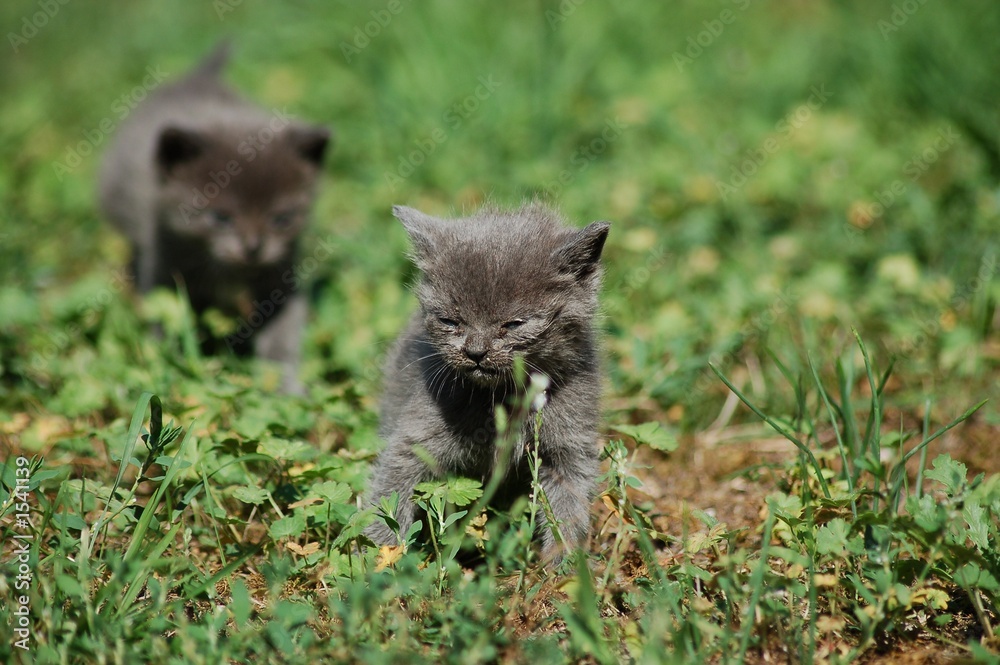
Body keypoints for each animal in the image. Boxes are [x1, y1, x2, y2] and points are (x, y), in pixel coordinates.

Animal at [97, 42, 326, 394]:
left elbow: (283, 329)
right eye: (220, 217)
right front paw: (170, 365)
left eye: (281, 219)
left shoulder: (278, 275)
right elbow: (165, 313)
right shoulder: (165, 259)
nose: (253, 247)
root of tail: (196, 79)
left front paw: (283, 382)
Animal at [364, 204, 604, 560]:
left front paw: (565, 562)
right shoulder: (415, 438)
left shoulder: (569, 444)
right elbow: (390, 493)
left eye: (514, 324)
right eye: (450, 321)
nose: (476, 351)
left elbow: (568, 504)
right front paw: (379, 557)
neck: (503, 399)